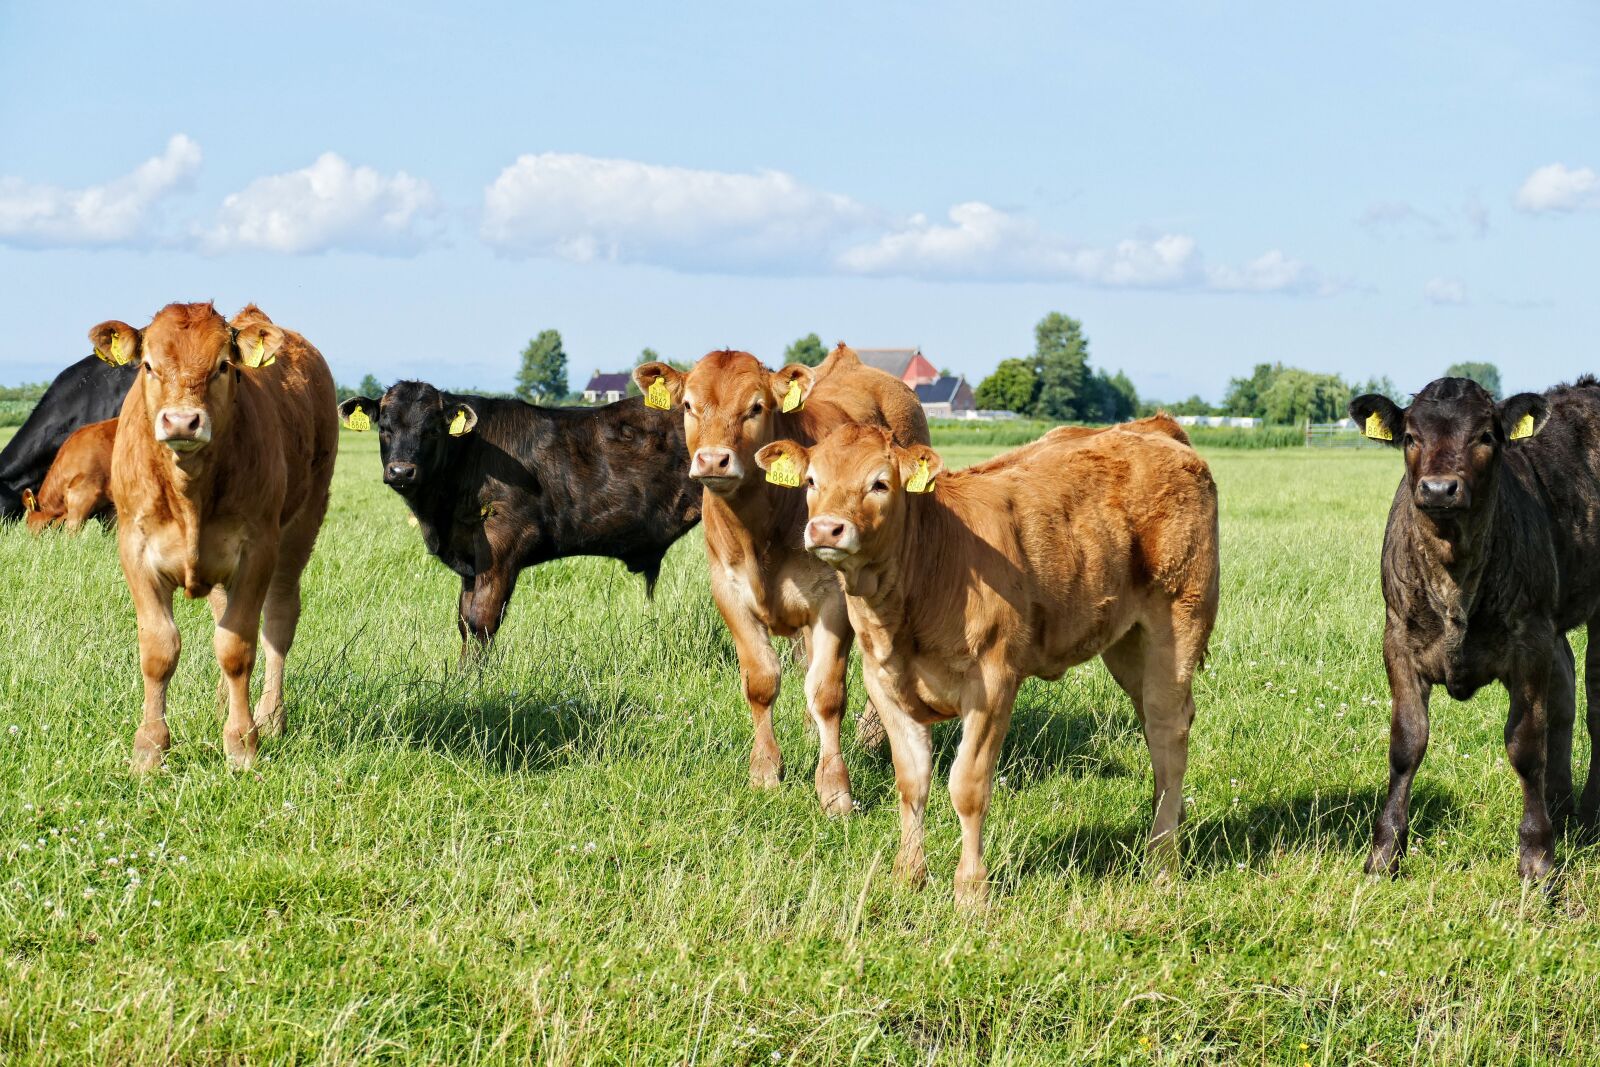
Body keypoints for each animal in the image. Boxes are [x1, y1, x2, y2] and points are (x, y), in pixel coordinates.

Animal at [101, 302, 337, 772]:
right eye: (148, 365)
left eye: (223, 366)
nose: (181, 421)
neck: (188, 491)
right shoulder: (135, 549)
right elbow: (159, 649)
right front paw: (149, 748)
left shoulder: (257, 550)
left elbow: (236, 647)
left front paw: (242, 742)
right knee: (221, 614)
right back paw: (222, 705)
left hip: (302, 526)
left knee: (279, 618)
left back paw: (270, 716)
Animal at [336, 381, 701, 650]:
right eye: (383, 428)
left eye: (432, 431)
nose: (401, 471)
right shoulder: (471, 556)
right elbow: (464, 621)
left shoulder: (504, 544)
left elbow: (481, 621)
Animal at [635, 344, 930, 816]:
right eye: (688, 406)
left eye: (756, 407)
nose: (713, 459)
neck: (761, 526)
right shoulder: (729, 592)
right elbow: (762, 681)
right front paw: (765, 773)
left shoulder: (834, 600)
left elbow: (828, 692)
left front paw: (835, 790)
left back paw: (869, 737)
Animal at [754, 417, 1219, 903]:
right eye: (812, 481)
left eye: (880, 483)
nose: (826, 528)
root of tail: (1153, 426)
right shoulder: (885, 683)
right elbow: (912, 781)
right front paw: (908, 876)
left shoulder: (992, 685)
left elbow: (968, 786)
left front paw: (971, 890)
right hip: (1127, 644)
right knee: (1153, 726)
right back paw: (1172, 819)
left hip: (1178, 623)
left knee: (1169, 733)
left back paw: (1162, 861)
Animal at [1350, 376, 1600, 880]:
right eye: (1410, 437)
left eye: (1486, 437)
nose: (1439, 488)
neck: (1455, 574)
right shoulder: (1397, 639)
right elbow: (1406, 744)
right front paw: (1384, 854)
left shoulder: (1530, 642)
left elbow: (1526, 746)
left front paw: (1537, 859)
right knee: (1565, 693)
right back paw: (1562, 809)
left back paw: (1586, 812)